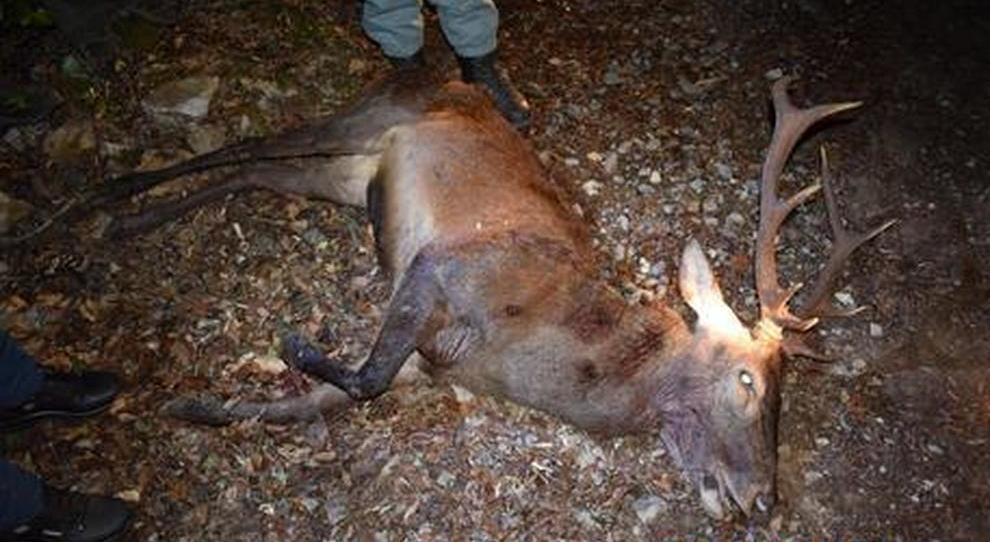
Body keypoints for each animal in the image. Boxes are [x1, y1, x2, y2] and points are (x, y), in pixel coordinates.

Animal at [5, 68, 894, 519]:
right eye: (748, 382)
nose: (762, 502)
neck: (523, 349)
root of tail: (425, 76)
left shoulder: (422, 360)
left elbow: (317, 402)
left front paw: (191, 407)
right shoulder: (443, 267)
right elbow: (359, 374)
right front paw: (290, 342)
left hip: (349, 176)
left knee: (255, 173)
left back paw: (128, 220)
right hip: (356, 123)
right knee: (247, 143)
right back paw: (89, 205)